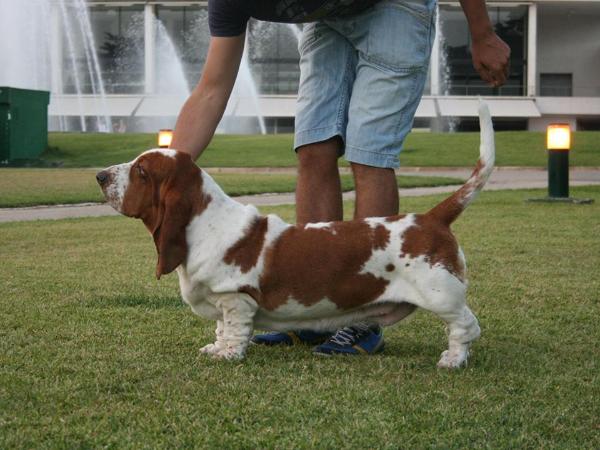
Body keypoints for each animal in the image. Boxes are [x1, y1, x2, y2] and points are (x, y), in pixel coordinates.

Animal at [96, 103, 494, 370]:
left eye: (142, 171)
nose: (100, 175)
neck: (203, 222)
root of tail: (431, 218)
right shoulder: (222, 301)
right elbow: (221, 329)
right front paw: (216, 348)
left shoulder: (235, 297)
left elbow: (235, 329)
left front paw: (228, 356)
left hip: (441, 295)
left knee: (466, 326)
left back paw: (453, 360)